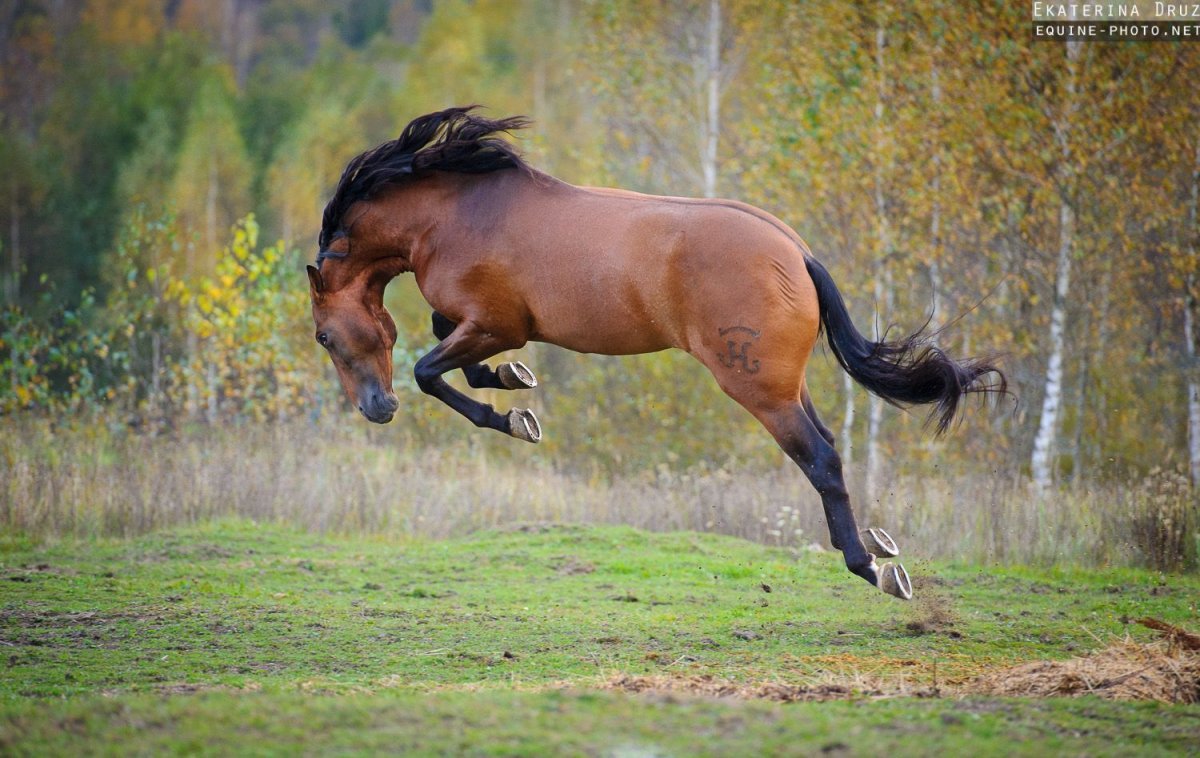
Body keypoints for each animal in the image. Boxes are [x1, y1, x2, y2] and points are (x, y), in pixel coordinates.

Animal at [307, 106, 1006, 601]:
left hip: (759, 390)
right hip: (790, 385)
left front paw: (512, 415)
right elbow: (441, 339)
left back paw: (872, 568)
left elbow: (429, 368)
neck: (455, 215)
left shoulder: (496, 323)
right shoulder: (482, 325)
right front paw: (510, 382)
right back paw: (877, 550)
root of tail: (795, 251)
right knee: (828, 445)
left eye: (323, 337)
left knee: (821, 458)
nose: (376, 410)